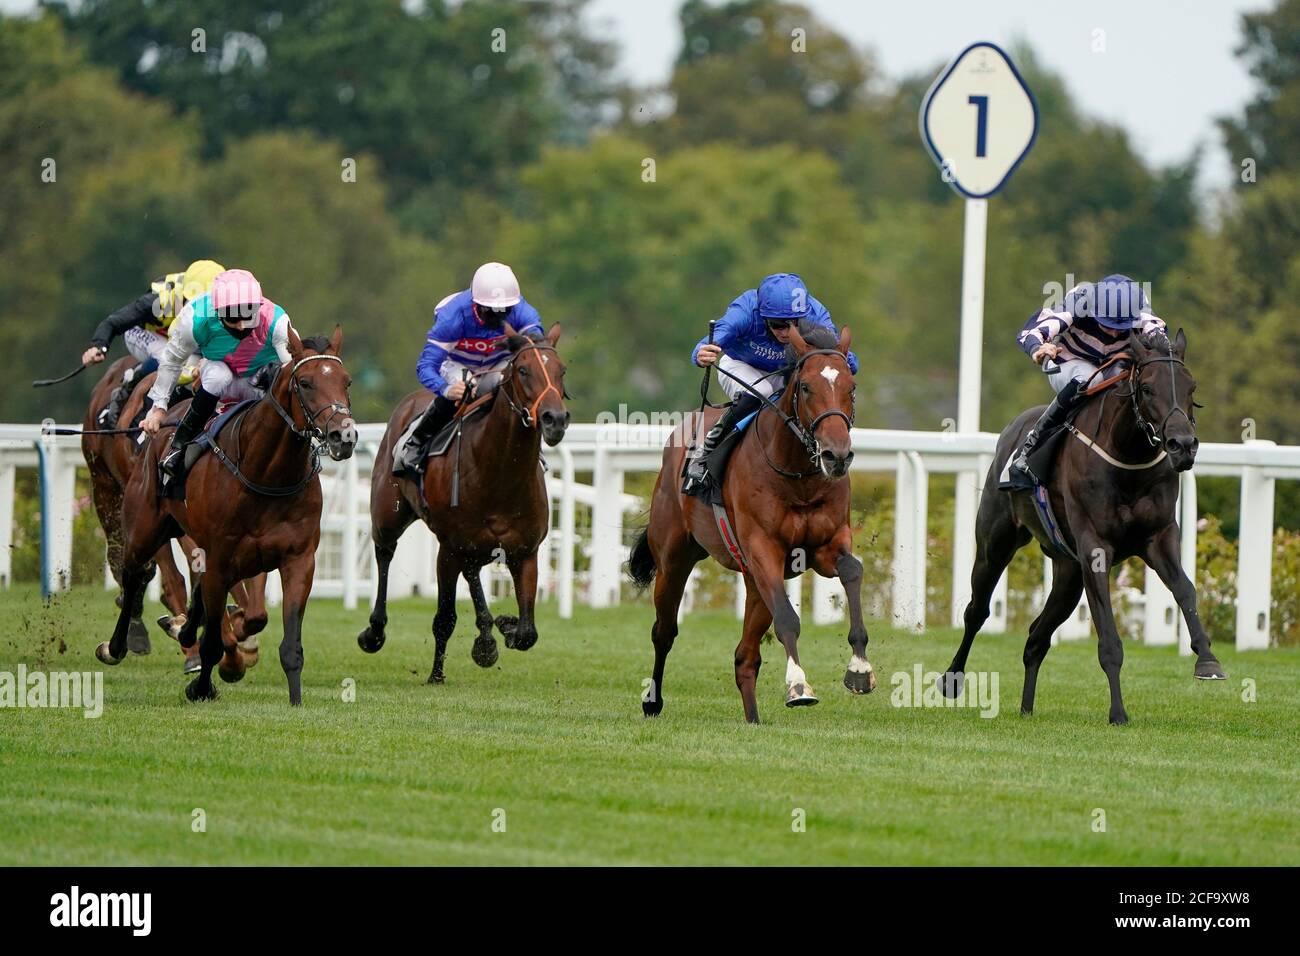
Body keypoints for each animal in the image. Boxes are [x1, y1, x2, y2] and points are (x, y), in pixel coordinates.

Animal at [364, 325, 572, 686]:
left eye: (561, 370)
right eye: (523, 370)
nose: (554, 419)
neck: (500, 475)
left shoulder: (525, 552)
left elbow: (528, 632)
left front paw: (506, 627)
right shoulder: (451, 548)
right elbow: (446, 617)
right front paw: (446, 669)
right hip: (389, 516)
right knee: (385, 553)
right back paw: (375, 632)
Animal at [629, 323, 873, 723]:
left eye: (851, 388)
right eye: (806, 387)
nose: (836, 455)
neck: (798, 477)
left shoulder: (827, 546)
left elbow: (852, 571)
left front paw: (860, 669)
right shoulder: (763, 551)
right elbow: (788, 619)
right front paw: (799, 686)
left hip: (752, 581)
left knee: (745, 656)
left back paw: (753, 719)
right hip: (674, 559)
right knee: (663, 632)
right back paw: (652, 701)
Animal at [941, 330, 1222, 723]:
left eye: (1191, 386)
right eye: (1147, 388)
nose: (1182, 445)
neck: (1127, 458)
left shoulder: (1159, 536)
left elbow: (1186, 590)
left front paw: (1207, 660)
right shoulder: (1095, 548)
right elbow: (1108, 637)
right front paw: (1118, 712)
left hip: (1068, 573)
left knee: (1036, 637)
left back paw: (1026, 708)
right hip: (996, 544)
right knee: (976, 611)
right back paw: (952, 678)